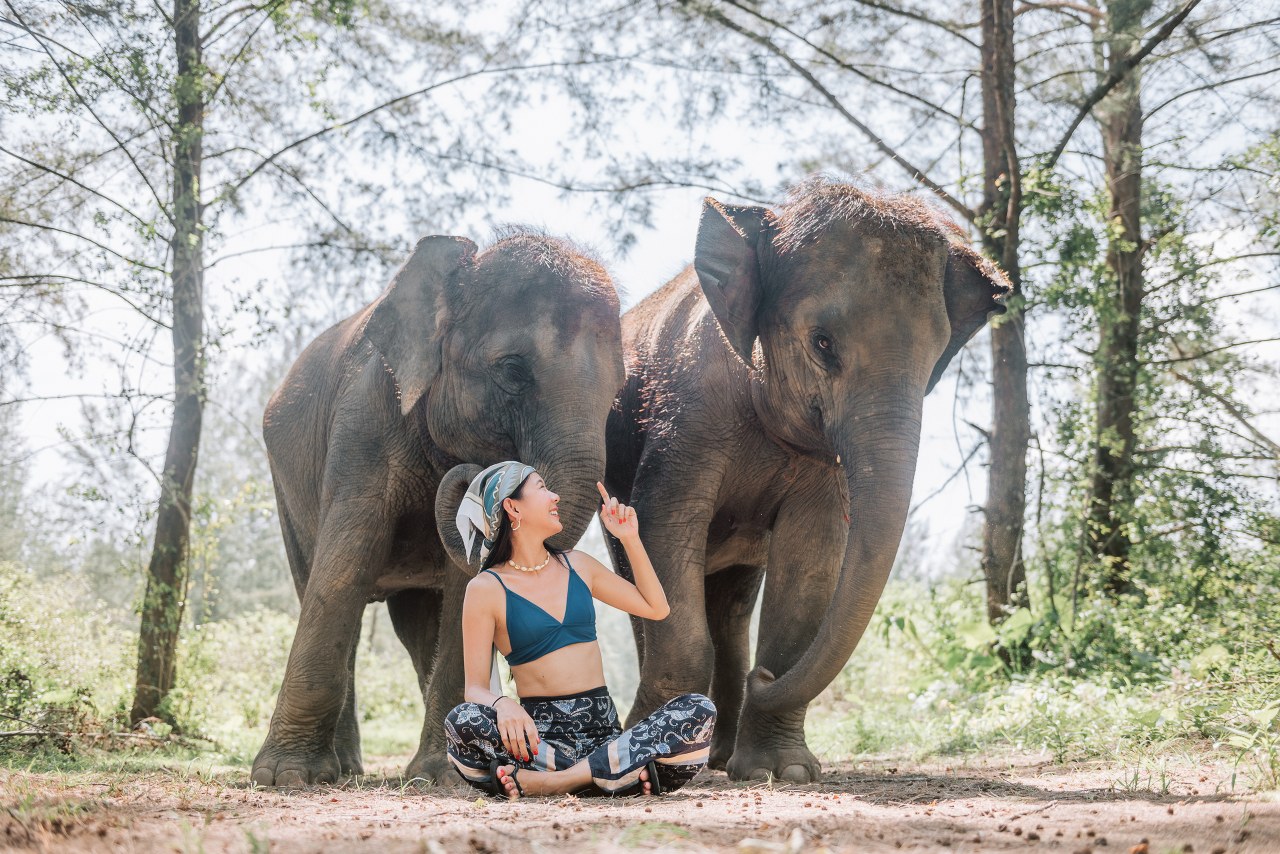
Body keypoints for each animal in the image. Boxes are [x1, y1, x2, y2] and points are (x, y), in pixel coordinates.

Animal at [248, 229, 619, 788]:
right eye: (513, 371)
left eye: (618, 394)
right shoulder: (364, 422)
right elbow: (343, 567)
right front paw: (284, 777)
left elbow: (463, 586)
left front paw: (445, 776)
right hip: (286, 493)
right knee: (324, 589)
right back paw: (340, 771)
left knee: (418, 623)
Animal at [601, 176, 1008, 783]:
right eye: (822, 342)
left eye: (936, 358)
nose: (764, 681)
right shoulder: (684, 420)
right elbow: (666, 529)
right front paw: (649, 761)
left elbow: (813, 555)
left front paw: (782, 771)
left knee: (732, 603)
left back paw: (720, 758)